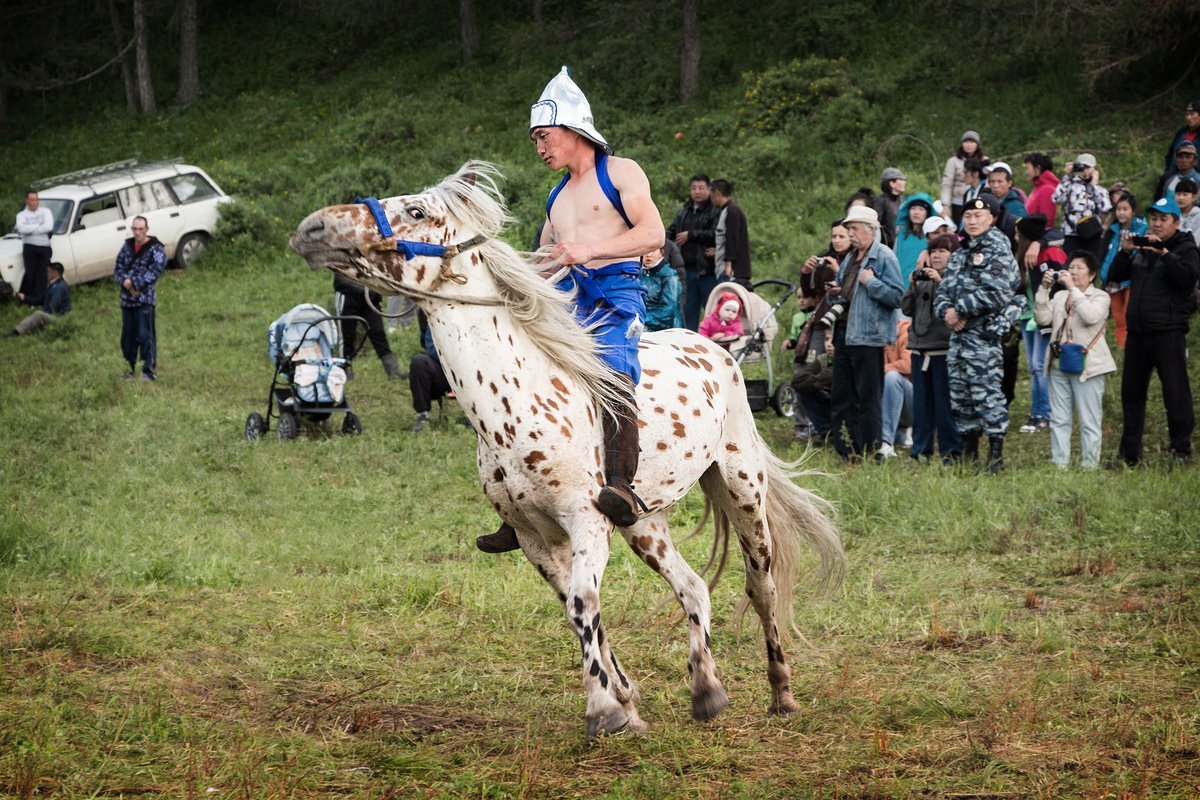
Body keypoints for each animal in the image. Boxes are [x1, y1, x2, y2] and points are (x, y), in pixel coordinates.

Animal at [291, 160, 849, 738]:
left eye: (418, 210)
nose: (313, 228)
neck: (517, 399)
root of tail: (717, 349)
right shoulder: (534, 537)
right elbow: (578, 611)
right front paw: (625, 702)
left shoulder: (586, 522)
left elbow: (585, 602)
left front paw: (604, 708)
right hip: (642, 521)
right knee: (693, 586)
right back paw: (706, 689)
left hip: (741, 490)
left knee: (761, 586)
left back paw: (782, 693)